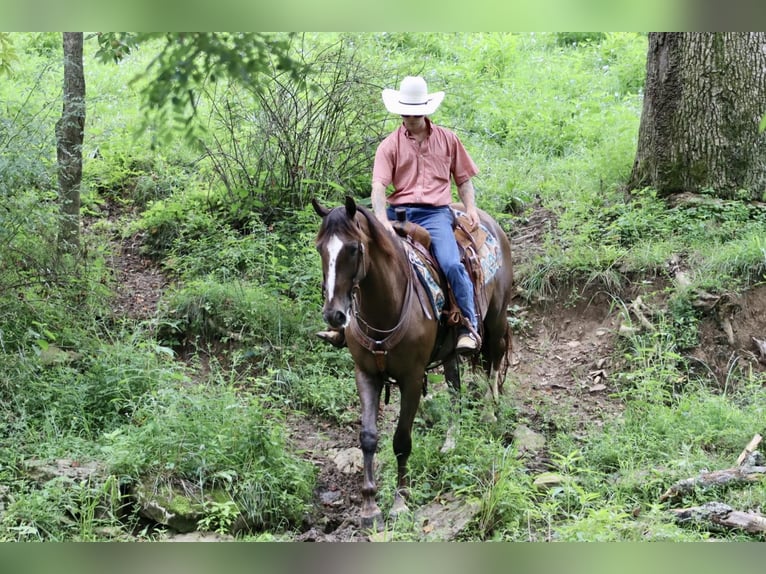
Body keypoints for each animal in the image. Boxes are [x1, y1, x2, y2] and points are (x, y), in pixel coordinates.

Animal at [312, 197, 516, 532]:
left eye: (353, 249)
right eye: (320, 248)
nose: (334, 315)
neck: (386, 306)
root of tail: (489, 221)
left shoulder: (411, 377)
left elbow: (401, 441)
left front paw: (400, 503)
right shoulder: (365, 374)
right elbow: (368, 438)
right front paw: (369, 507)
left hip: (495, 320)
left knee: (492, 362)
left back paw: (489, 412)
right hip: (449, 350)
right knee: (455, 389)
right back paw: (450, 441)